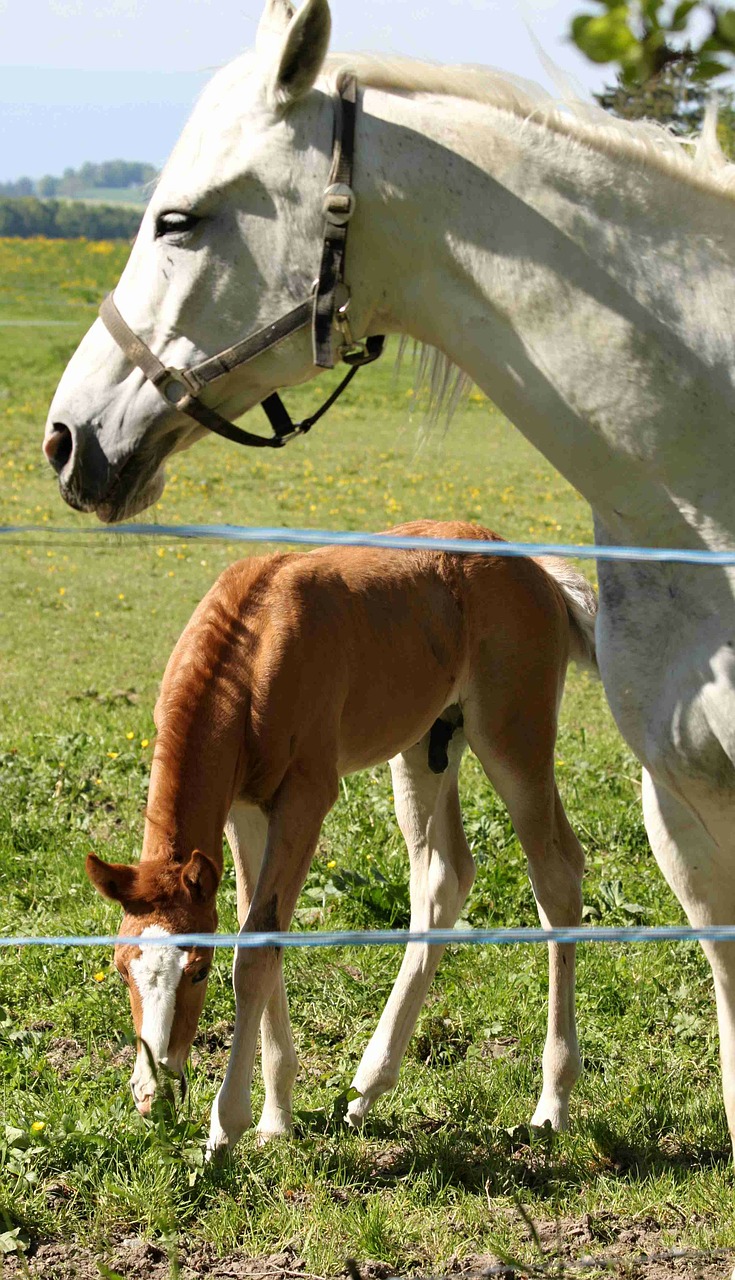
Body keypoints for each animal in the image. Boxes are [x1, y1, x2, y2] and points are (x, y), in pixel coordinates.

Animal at [87, 519, 599, 1152]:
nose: (152, 1097)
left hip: (513, 741)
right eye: (120, 966)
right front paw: (276, 1118)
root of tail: (537, 569)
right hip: (425, 746)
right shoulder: (244, 810)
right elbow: (258, 927)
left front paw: (225, 1130)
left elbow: (255, 951)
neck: (256, 645)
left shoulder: (306, 799)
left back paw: (552, 1103)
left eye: (198, 970)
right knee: (444, 878)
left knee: (556, 875)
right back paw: (365, 1092)